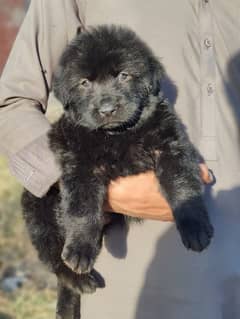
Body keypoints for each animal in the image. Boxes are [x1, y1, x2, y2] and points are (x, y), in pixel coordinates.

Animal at [22, 26, 214, 302]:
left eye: (123, 75)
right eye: (84, 82)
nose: (107, 108)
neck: (117, 135)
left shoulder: (170, 145)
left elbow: (182, 186)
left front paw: (195, 228)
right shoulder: (79, 164)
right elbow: (82, 208)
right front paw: (80, 249)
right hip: (38, 210)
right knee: (51, 252)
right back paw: (80, 279)